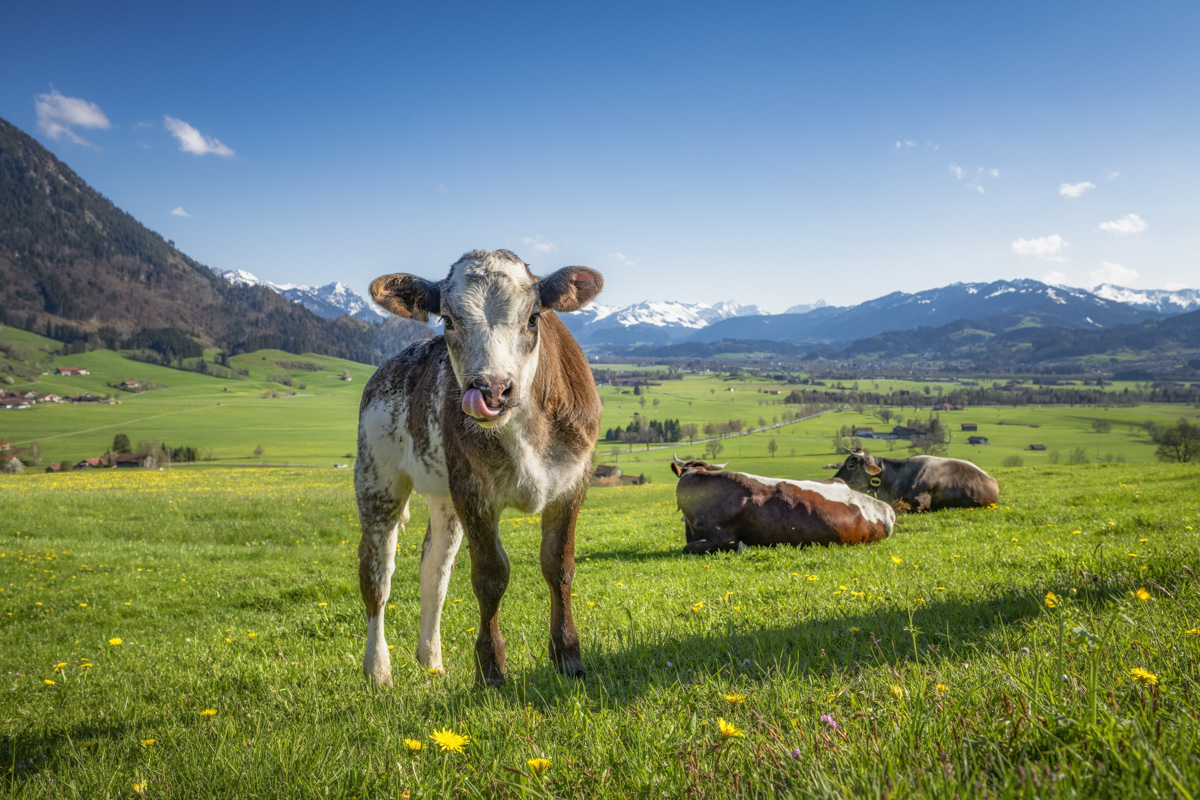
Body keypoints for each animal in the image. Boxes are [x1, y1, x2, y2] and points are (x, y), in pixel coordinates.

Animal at [356, 249, 604, 688]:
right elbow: (490, 576)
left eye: (533, 317)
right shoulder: (474, 492)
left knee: (434, 572)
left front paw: (568, 656)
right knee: (376, 576)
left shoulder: (573, 482)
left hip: (444, 498)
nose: (491, 389)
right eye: (448, 320)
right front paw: (491, 668)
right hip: (377, 480)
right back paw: (378, 669)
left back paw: (431, 660)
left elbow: (559, 566)